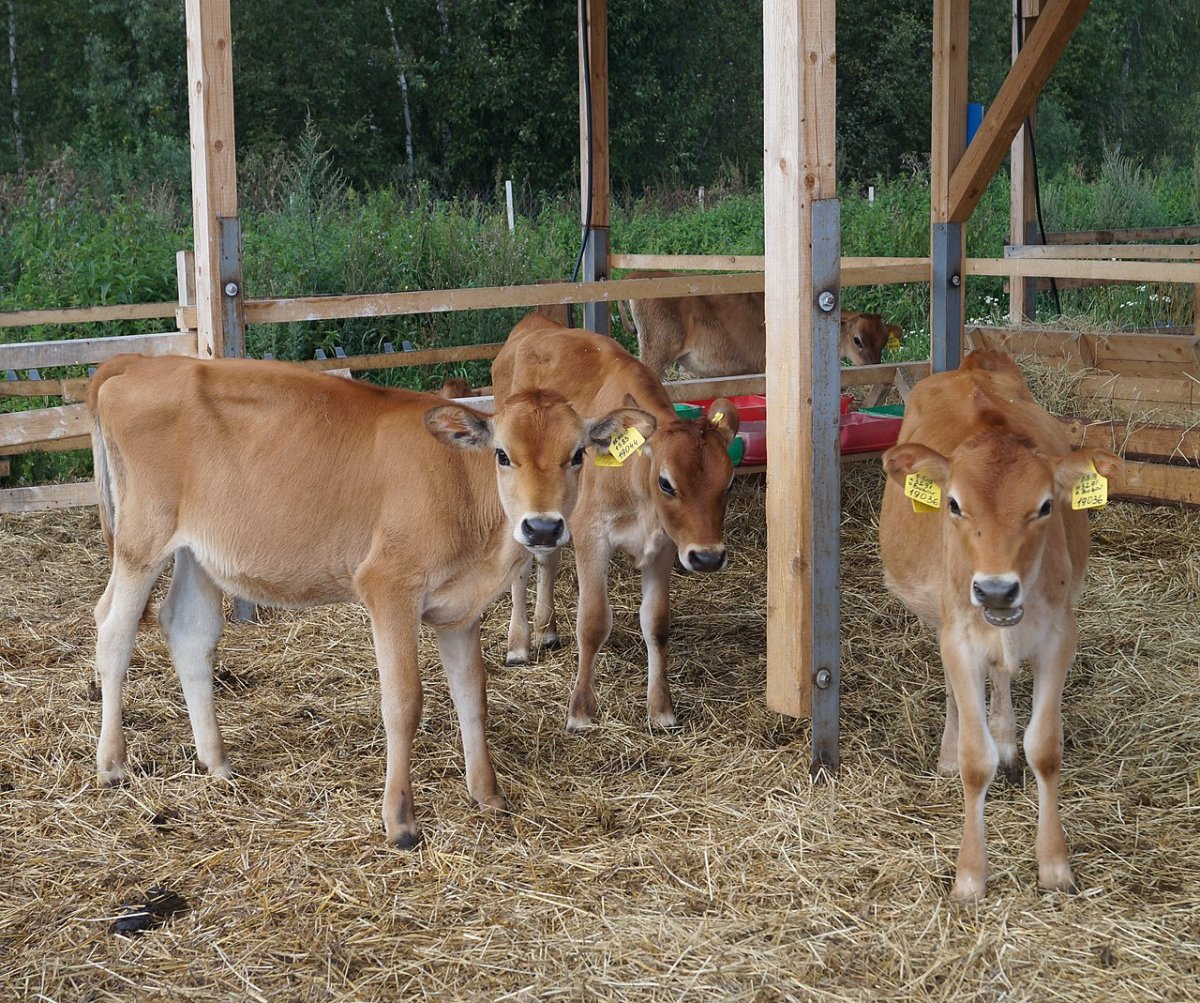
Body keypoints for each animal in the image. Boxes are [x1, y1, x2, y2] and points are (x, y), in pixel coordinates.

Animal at [87, 353, 654, 847]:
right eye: (502, 454)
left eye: (577, 454)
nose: (542, 527)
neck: (466, 496)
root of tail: (143, 362)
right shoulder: (389, 588)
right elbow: (403, 702)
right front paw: (400, 821)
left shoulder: (460, 609)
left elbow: (472, 695)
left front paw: (487, 795)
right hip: (141, 537)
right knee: (113, 627)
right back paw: (113, 763)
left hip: (199, 550)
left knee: (190, 631)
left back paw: (217, 761)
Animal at [491, 315, 739, 731]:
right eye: (666, 482)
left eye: (729, 482)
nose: (707, 558)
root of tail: (532, 324)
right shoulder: (593, 535)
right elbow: (592, 623)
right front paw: (580, 711)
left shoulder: (664, 545)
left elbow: (657, 624)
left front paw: (661, 710)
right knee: (521, 567)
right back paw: (519, 643)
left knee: (548, 558)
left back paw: (547, 629)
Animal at [879, 349, 1122, 901]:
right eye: (953, 504)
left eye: (1046, 506)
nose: (994, 589)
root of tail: (970, 365)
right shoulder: (959, 638)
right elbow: (976, 758)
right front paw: (970, 875)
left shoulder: (1060, 636)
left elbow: (1046, 748)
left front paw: (1054, 864)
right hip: (940, 619)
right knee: (956, 689)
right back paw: (950, 750)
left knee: (1003, 676)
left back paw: (1006, 738)